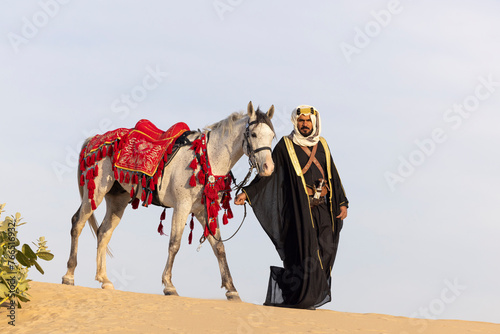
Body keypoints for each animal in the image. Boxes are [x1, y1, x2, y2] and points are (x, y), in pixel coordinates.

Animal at [62, 101, 276, 300]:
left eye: (272, 136)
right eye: (253, 134)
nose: (268, 168)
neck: (206, 158)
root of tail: (93, 140)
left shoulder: (203, 211)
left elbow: (219, 247)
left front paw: (232, 290)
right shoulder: (182, 206)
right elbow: (174, 244)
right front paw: (169, 285)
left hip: (117, 199)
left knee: (103, 232)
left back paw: (104, 279)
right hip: (95, 192)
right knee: (78, 223)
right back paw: (69, 275)